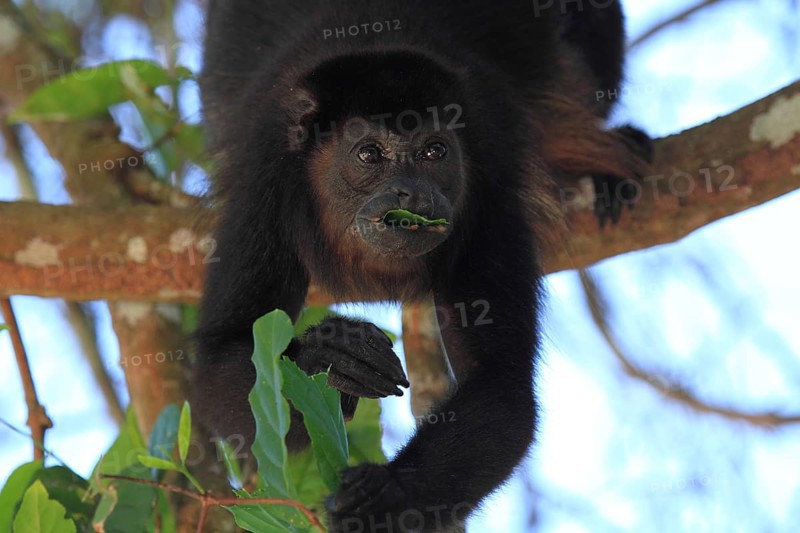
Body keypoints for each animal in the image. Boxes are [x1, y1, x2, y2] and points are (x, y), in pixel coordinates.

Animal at [193, 1, 650, 531]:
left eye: (434, 151)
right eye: (369, 154)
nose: (411, 193)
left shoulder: (489, 188)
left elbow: (502, 382)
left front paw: (387, 497)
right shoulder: (263, 179)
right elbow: (219, 358)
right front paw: (328, 356)